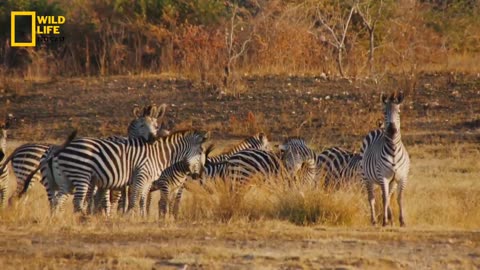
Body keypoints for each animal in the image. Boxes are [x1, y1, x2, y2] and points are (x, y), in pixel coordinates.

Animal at [31, 130, 209, 216]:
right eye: (201, 152)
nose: (199, 175)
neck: (159, 154)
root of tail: (58, 149)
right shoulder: (141, 175)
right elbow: (135, 199)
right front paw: (129, 216)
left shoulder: (148, 180)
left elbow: (143, 200)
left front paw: (142, 218)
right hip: (81, 175)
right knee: (77, 202)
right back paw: (84, 219)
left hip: (64, 180)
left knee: (57, 201)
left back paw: (59, 220)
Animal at [362, 92, 410, 227]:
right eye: (384, 112)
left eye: (398, 111)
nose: (392, 130)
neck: (393, 149)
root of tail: (379, 130)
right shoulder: (383, 177)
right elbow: (383, 199)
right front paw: (384, 221)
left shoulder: (402, 177)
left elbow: (399, 198)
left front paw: (402, 221)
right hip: (367, 178)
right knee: (372, 198)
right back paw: (374, 220)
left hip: (391, 181)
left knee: (387, 195)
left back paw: (391, 219)